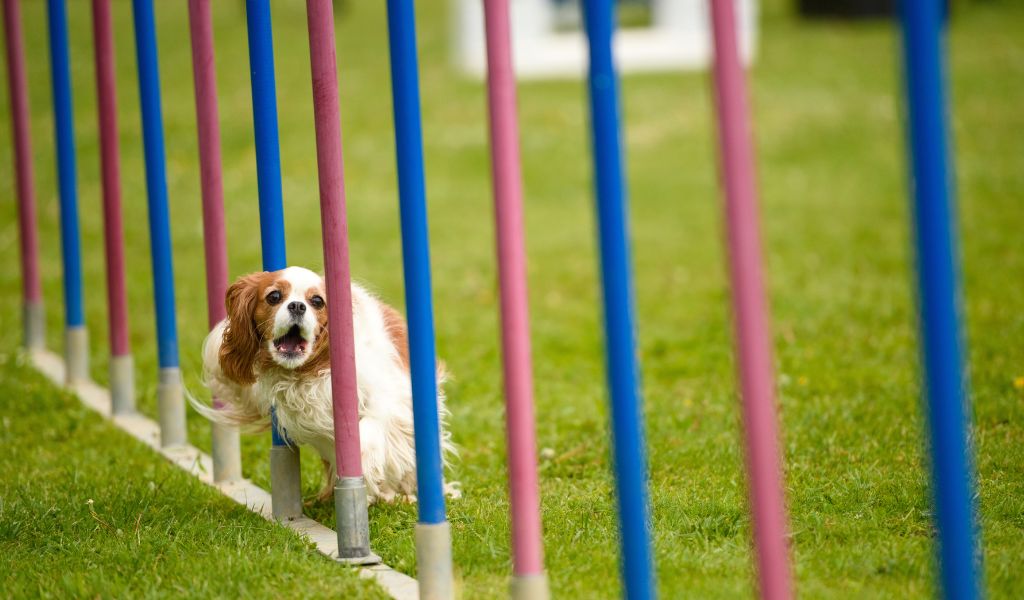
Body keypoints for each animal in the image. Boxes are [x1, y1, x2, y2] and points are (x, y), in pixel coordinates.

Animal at [193, 264, 458, 501]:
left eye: (317, 301)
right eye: (274, 296)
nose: (297, 306)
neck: (309, 369)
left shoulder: (392, 395)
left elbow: (371, 426)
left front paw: (363, 463)